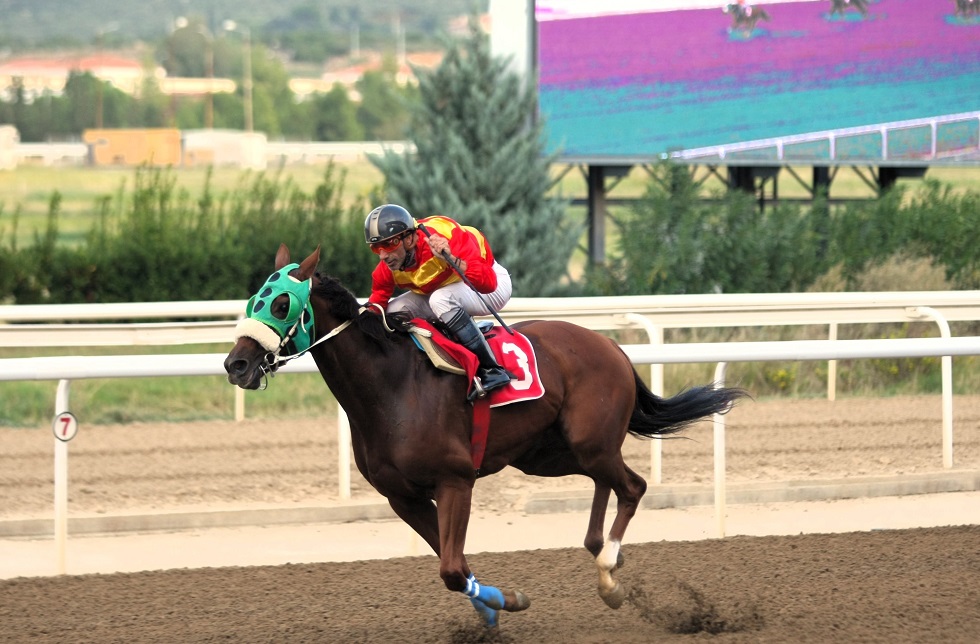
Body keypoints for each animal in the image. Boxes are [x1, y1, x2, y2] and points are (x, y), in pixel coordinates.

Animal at [224, 245, 744, 628]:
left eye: (282, 303)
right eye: (251, 302)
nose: (236, 364)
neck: (392, 387)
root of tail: (611, 345)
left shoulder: (455, 480)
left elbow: (453, 568)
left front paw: (504, 603)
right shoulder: (403, 497)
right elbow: (454, 564)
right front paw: (496, 608)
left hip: (588, 440)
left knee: (632, 486)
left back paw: (609, 572)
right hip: (549, 454)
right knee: (607, 483)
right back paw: (600, 550)